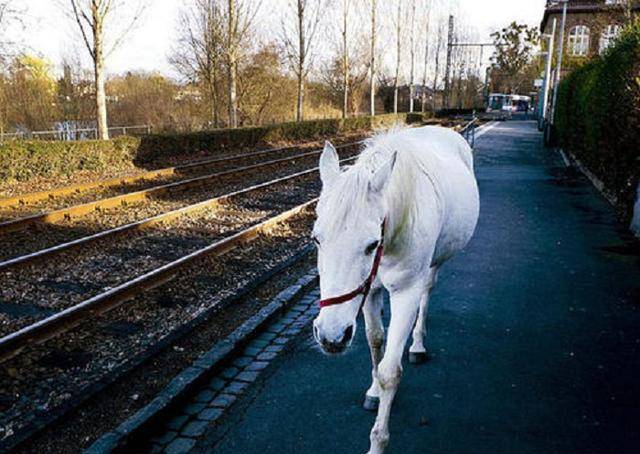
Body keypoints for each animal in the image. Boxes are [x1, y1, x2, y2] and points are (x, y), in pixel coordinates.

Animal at [310, 125, 480, 454]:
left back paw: (417, 345)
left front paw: (378, 442)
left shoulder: (405, 292)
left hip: (433, 264)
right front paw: (374, 391)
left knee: (427, 290)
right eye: (316, 239)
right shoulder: (368, 290)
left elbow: (391, 371)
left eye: (371, 244)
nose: (331, 337)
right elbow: (375, 341)